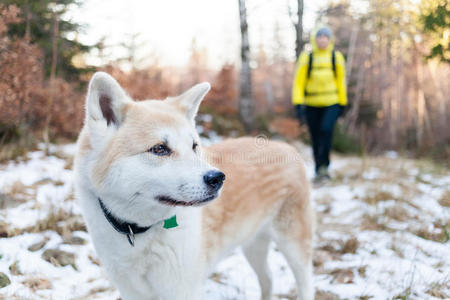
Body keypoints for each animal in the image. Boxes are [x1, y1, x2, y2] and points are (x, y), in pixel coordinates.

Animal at [74, 72, 314, 300]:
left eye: (194, 146)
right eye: (159, 149)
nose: (218, 178)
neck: (140, 230)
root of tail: (286, 147)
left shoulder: (183, 290)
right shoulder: (132, 292)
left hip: (293, 246)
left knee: (305, 284)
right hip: (253, 245)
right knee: (268, 279)